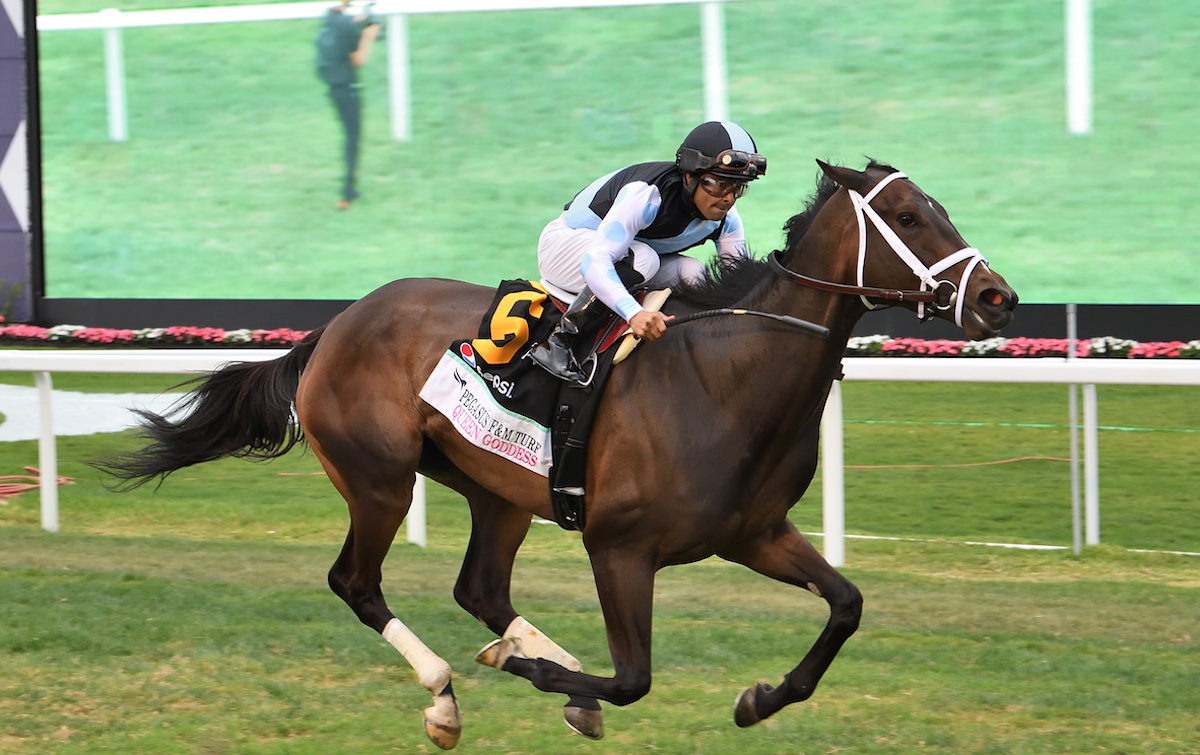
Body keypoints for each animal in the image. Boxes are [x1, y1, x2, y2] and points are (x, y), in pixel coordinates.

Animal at [108, 160, 1017, 748]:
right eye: (908, 217)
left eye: (938, 206)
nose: (998, 297)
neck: (725, 377)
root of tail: (334, 325)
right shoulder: (619, 546)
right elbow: (634, 676)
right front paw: (544, 680)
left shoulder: (754, 533)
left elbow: (847, 604)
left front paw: (760, 697)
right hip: (379, 479)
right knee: (356, 582)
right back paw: (448, 693)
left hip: (497, 490)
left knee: (480, 587)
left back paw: (527, 653)